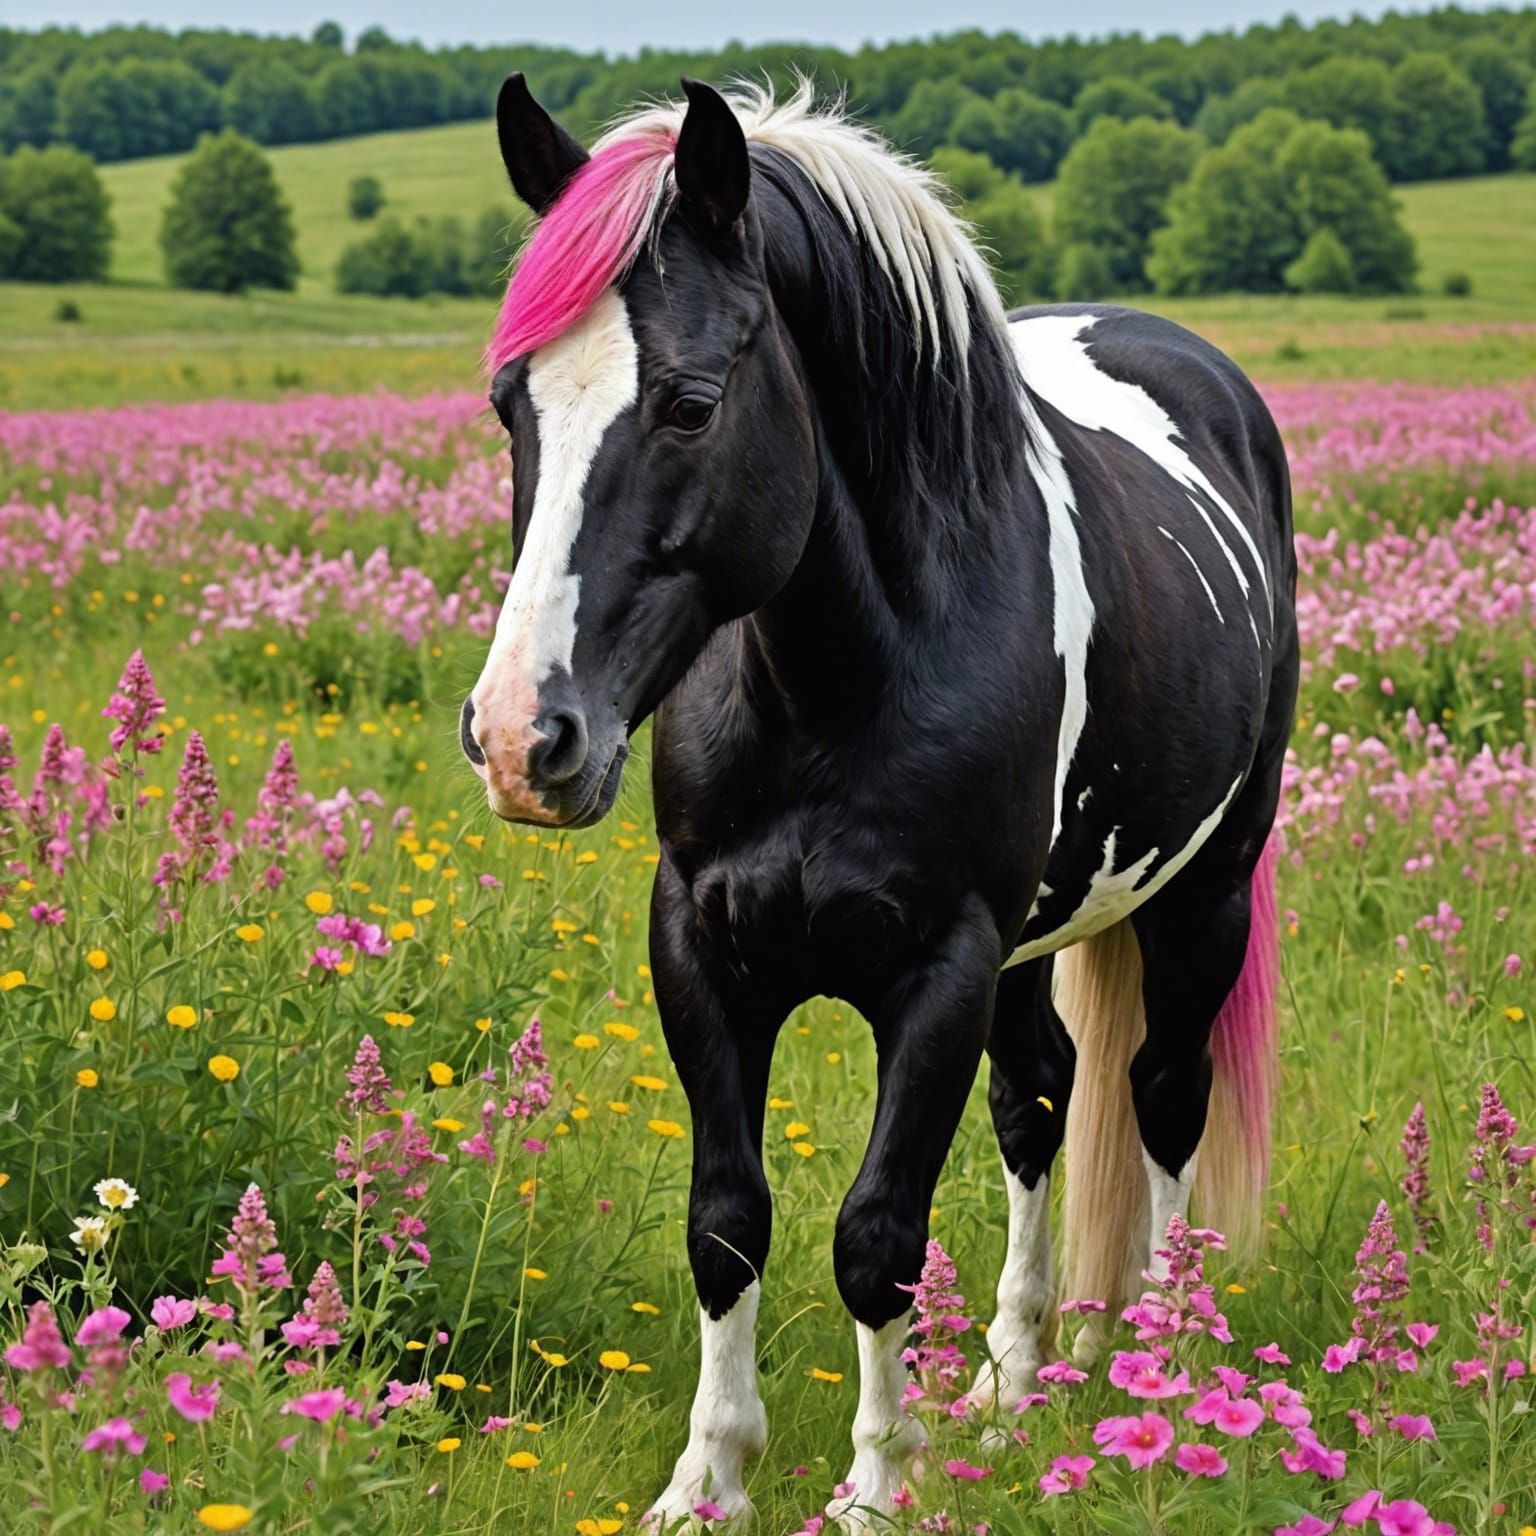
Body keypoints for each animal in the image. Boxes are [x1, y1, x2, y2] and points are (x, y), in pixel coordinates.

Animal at [462, 73, 1298, 1531]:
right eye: (516, 404)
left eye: (689, 405)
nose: (522, 739)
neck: (844, 681)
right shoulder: (703, 948)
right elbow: (727, 1220)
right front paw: (709, 1481)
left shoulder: (941, 964)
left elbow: (878, 1236)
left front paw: (874, 1484)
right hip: (1043, 933)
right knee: (1043, 1097)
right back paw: (1026, 1376)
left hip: (1201, 895)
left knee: (1161, 1092)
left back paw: (1161, 1359)